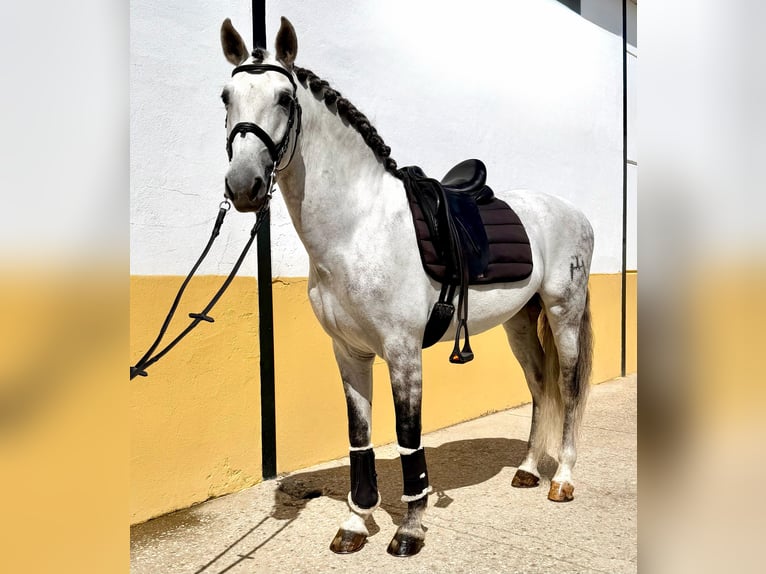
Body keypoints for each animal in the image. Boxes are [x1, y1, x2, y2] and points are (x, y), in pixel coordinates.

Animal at [218, 17, 594, 557]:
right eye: (225, 96)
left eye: (285, 98)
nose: (243, 185)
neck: (358, 227)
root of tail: (573, 212)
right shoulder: (348, 352)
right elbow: (360, 437)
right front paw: (355, 523)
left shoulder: (402, 352)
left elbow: (406, 435)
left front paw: (410, 528)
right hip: (520, 323)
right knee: (540, 386)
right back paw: (526, 470)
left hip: (564, 314)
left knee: (566, 385)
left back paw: (561, 480)